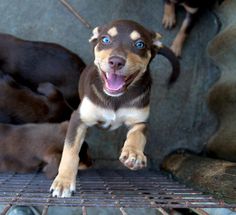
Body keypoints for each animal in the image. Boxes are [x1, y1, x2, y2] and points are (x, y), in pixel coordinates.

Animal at [49, 19, 179, 197]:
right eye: (105, 40)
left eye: (139, 44)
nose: (116, 62)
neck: (116, 98)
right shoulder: (78, 118)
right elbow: (70, 151)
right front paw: (63, 182)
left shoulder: (140, 121)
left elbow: (138, 135)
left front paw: (133, 154)